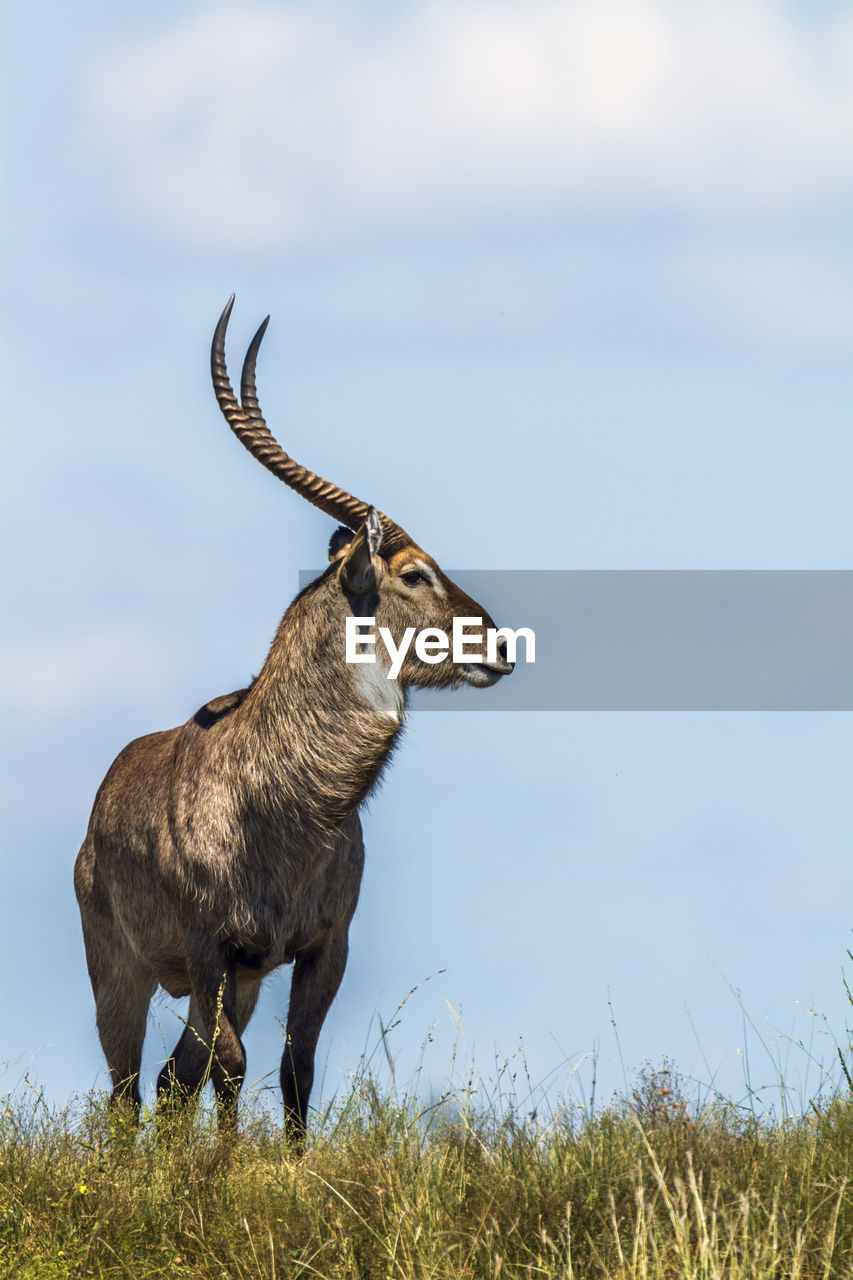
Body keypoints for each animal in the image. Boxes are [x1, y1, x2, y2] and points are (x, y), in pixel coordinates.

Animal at [73, 299, 512, 1141]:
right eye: (414, 573)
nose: (501, 645)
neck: (280, 804)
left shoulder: (321, 948)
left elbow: (293, 1068)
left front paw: (282, 1162)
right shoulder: (211, 948)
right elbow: (234, 1066)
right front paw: (225, 1166)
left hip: (231, 980)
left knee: (172, 1079)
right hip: (124, 970)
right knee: (129, 1088)